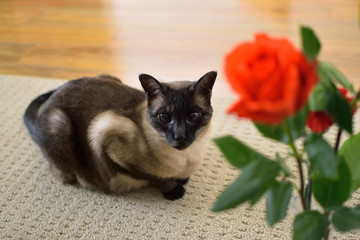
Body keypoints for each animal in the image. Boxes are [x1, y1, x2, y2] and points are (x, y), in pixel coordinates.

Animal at [25, 72, 218, 200]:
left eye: (193, 116)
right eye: (164, 117)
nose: (179, 136)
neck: (187, 159)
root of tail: (52, 98)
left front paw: (182, 180)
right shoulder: (106, 134)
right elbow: (156, 178)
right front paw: (174, 190)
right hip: (58, 121)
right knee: (63, 174)